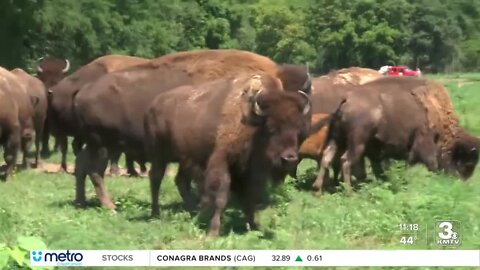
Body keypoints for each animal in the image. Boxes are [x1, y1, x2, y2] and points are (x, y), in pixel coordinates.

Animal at [71, 49, 312, 211]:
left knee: (82, 164)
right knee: (95, 171)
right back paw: (110, 206)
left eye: (299, 116)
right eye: (272, 126)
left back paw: (81, 201)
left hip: (97, 144)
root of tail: (83, 91)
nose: (289, 158)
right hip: (102, 145)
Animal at [144, 74, 314, 236]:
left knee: (181, 181)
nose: (289, 158)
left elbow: (248, 198)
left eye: (298, 128)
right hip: (159, 154)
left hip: (185, 158)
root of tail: (153, 104)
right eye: (271, 127)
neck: (251, 123)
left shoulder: (248, 172)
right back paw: (156, 214)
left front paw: (254, 226)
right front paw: (213, 231)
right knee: (156, 178)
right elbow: (221, 196)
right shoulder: (222, 161)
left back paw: (194, 213)